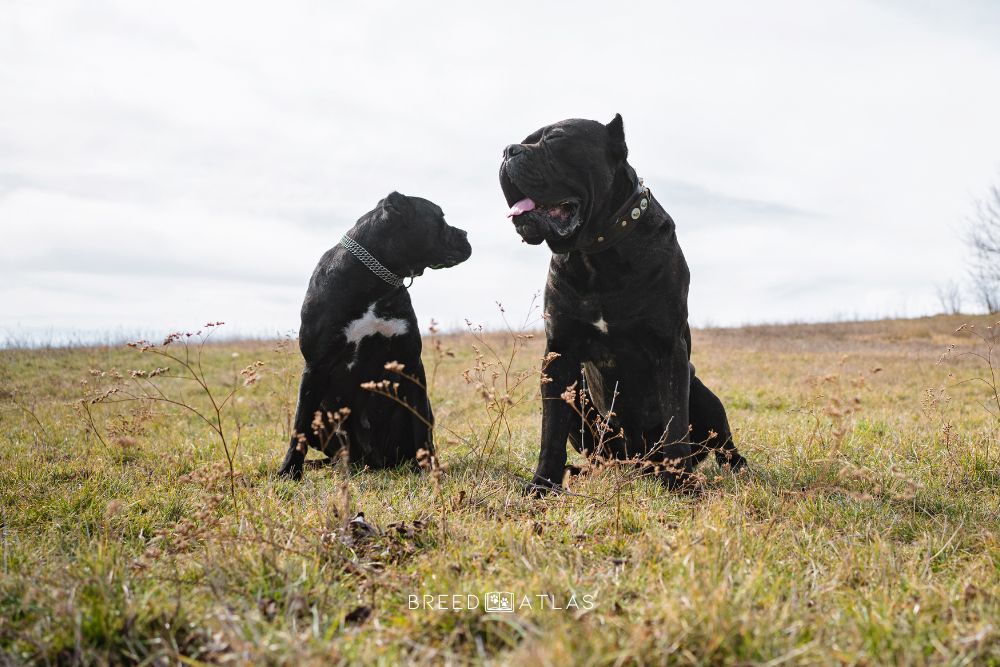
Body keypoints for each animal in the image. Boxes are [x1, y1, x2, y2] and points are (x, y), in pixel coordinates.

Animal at [278, 193, 472, 480]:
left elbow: (420, 425)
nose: (465, 233)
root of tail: (372, 461)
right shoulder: (315, 366)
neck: (375, 281)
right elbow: (298, 425)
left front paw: (430, 468)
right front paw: (289, 470)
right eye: (441, 218)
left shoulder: (411, 363)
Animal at [500, 113, 744, 490]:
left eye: (555, 139)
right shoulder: (559, 355)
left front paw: (682, 484)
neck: (595, 255)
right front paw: (542, 485)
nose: (508, 150)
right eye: (525, 140)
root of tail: (638, 462)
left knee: (722, 445)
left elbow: (675, 422)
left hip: (703, 394)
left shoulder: (668, 349)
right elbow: (550, 431)